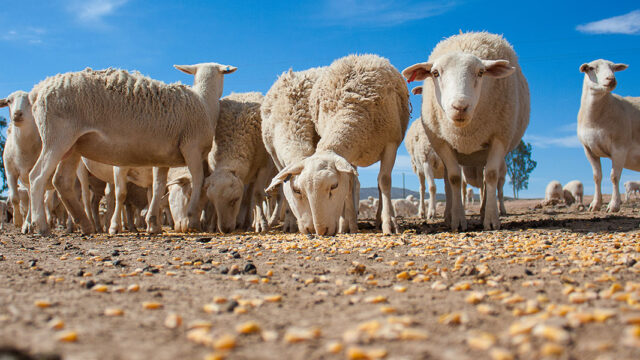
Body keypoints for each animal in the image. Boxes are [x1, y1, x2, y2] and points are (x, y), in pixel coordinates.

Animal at [27, 62, 236, 236]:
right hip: (57, 137)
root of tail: (38, 90)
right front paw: (192, 218)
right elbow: (199, 180)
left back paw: (85, 225)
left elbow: (158, 188)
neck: (204, 103)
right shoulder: (191, 147)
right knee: (37, 177)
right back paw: (42, 226)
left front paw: (153, 224)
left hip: (74, 146)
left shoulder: (162, 158)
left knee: (61, 181)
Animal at [266, 53, 410, 235]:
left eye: (333, 186)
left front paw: (389, 223)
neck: (351, 110)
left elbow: (384, 181)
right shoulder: (348, 155)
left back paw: (378, 219)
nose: (321, 231)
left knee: (380, 183)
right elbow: (349, 183)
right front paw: (347, 225)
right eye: (299, 190)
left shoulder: (390, 144)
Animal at [576, 57, 636, 212]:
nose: (611, 79)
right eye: (591, 68)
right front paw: (595, 204)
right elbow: (597, 177)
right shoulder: (589, 149)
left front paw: (614, 205)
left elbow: (614, 177)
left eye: (614, 68)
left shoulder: (620, 146)